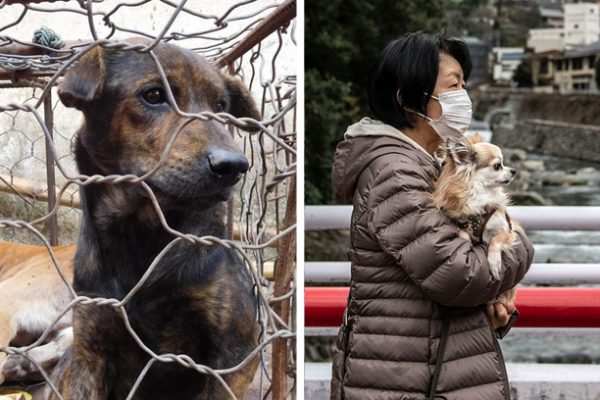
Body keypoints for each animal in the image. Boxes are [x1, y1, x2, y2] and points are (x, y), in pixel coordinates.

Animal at [48, 39, 258, 400]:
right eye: (154, 95)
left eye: (222, 107)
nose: (234, 166)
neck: (138, 230)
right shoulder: (91, 350)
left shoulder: (236, 357)